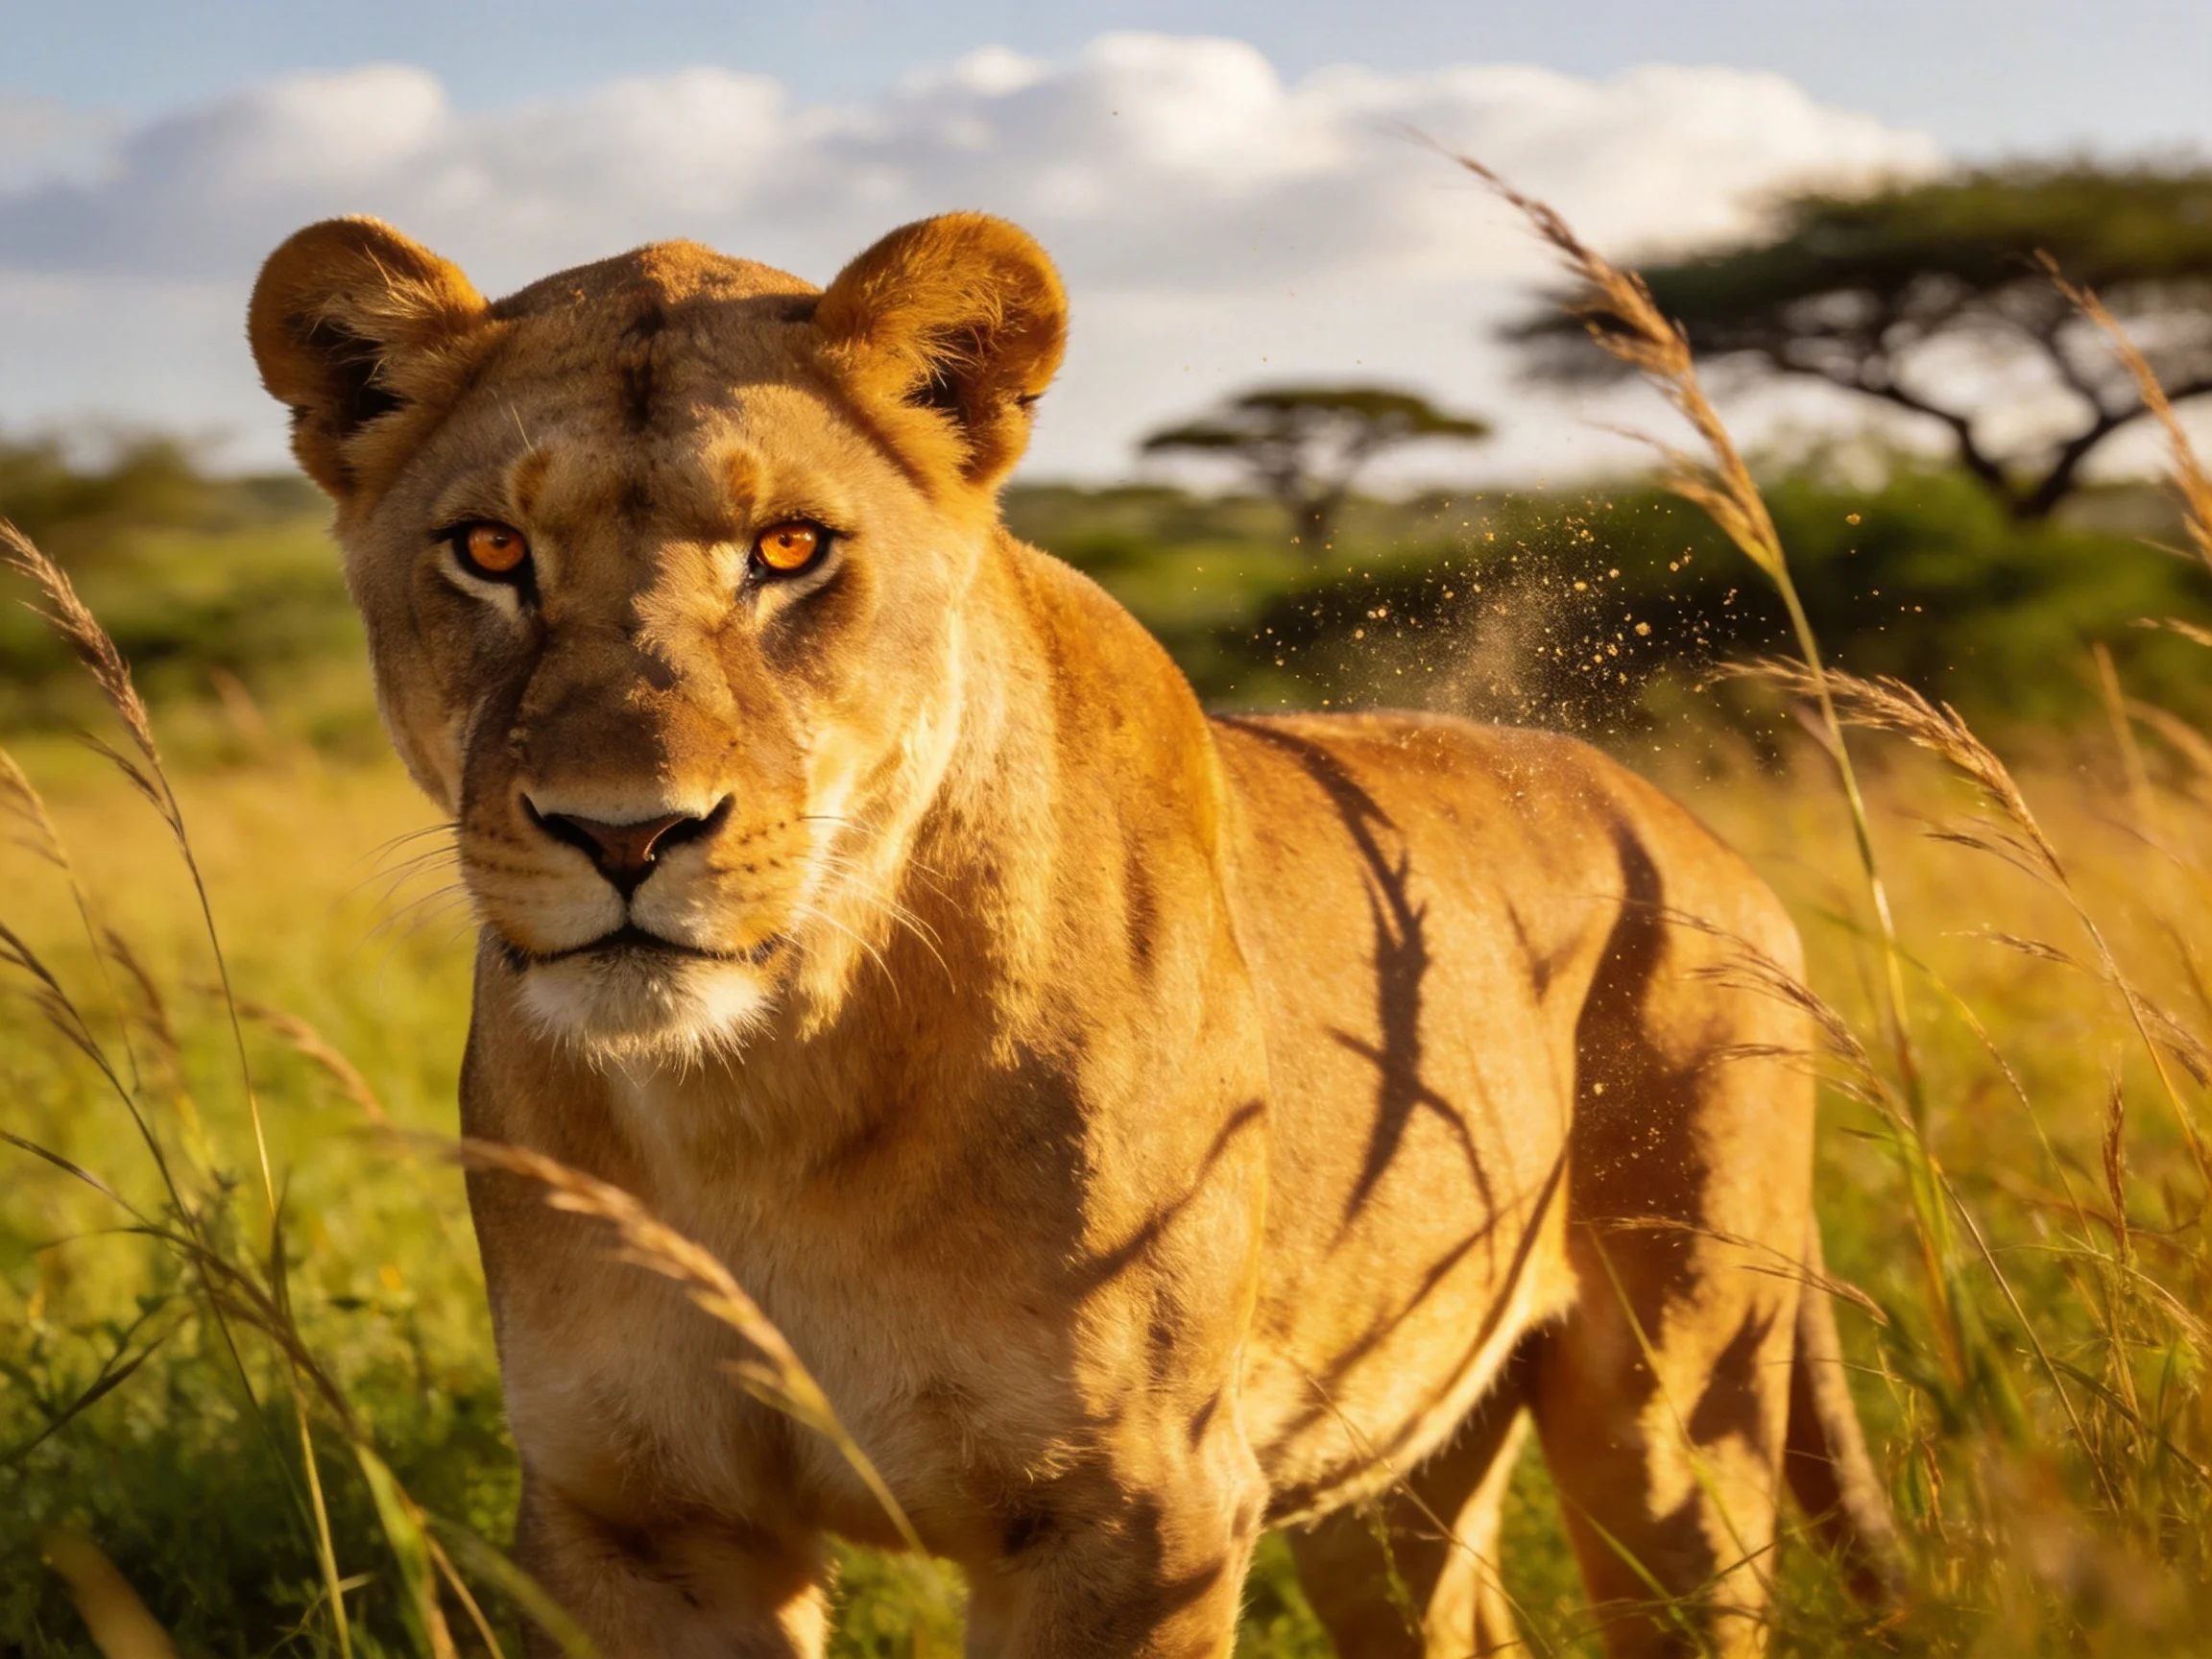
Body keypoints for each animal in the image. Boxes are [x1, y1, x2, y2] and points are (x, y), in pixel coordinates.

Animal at [248, 212, 1895, 1657]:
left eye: (788, 549)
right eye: (488, 551)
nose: (623, 835)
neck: (752, 1099)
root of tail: (1694, 832)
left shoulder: (1137, 1512)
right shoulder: (642, 1523)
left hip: (1676, 1420)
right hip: (1388, 1457)